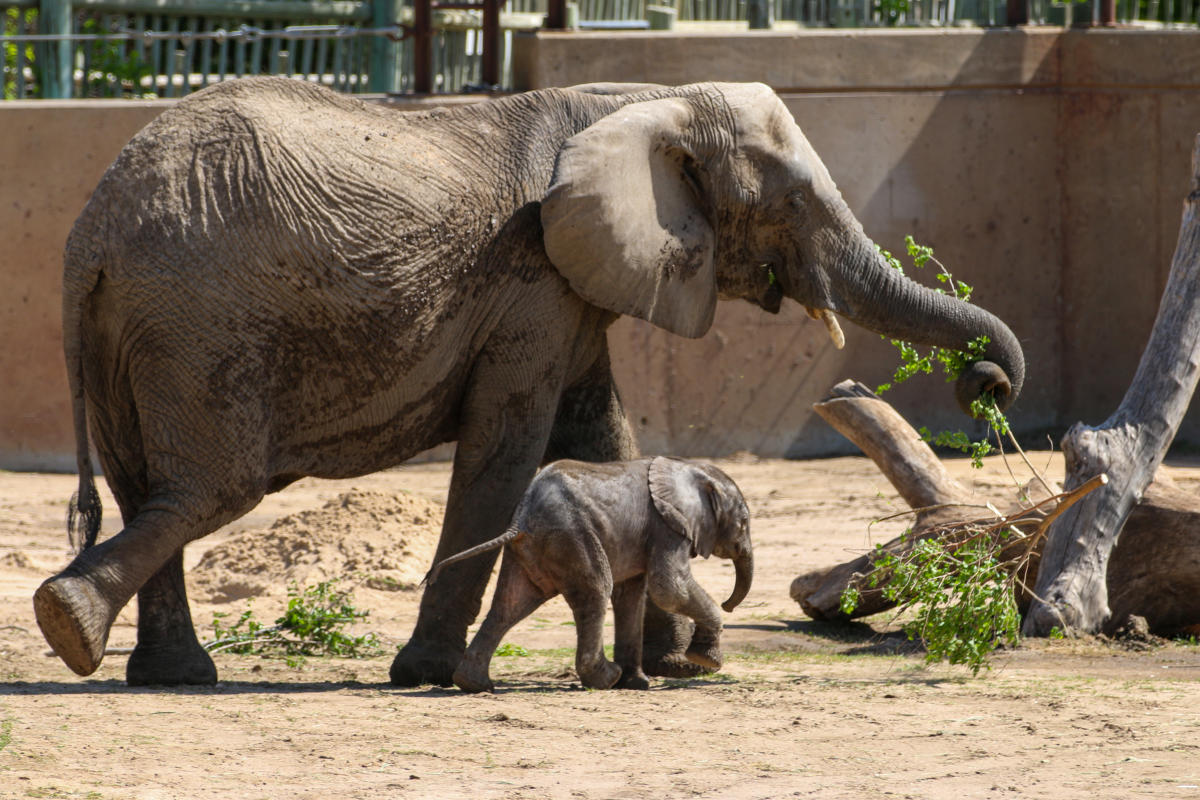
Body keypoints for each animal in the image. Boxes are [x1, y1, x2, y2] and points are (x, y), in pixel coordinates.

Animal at [425, 456, 753, 693]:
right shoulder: (668, 526)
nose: (729, 605)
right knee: (595, 591)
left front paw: (637, 684)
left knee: (510, 605)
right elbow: (669, 588)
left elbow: (632, 596)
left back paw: (475, 685)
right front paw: (706, 659)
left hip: (533, 549)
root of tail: (521, 518)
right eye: (744, 522)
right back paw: (605, 679)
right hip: (572, 534)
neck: (689, 468)